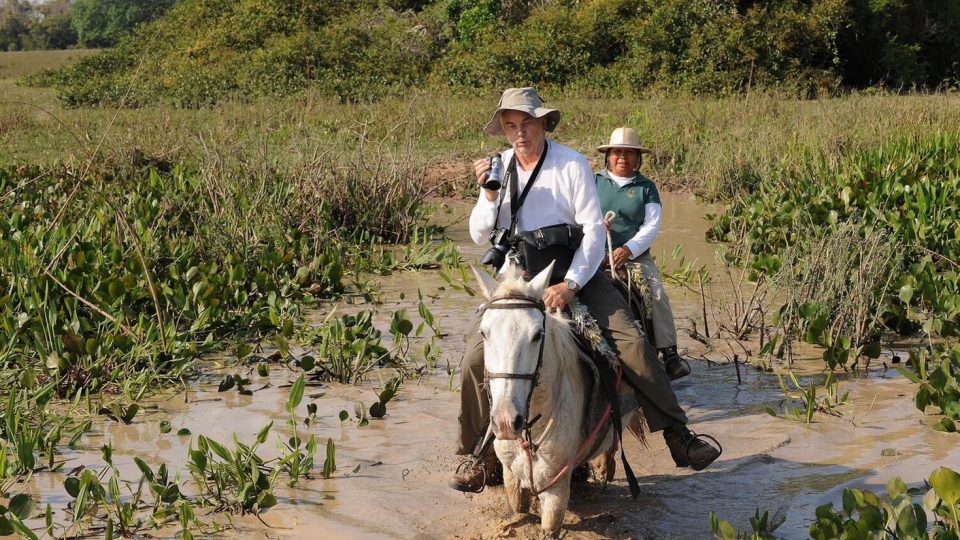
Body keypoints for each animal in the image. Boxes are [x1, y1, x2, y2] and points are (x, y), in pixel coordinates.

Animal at [472, 260, 624, 532]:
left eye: (537, 335)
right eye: (483, 333)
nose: (506, 422)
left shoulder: (556, 491)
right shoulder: (511, 477)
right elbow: (519, 509)